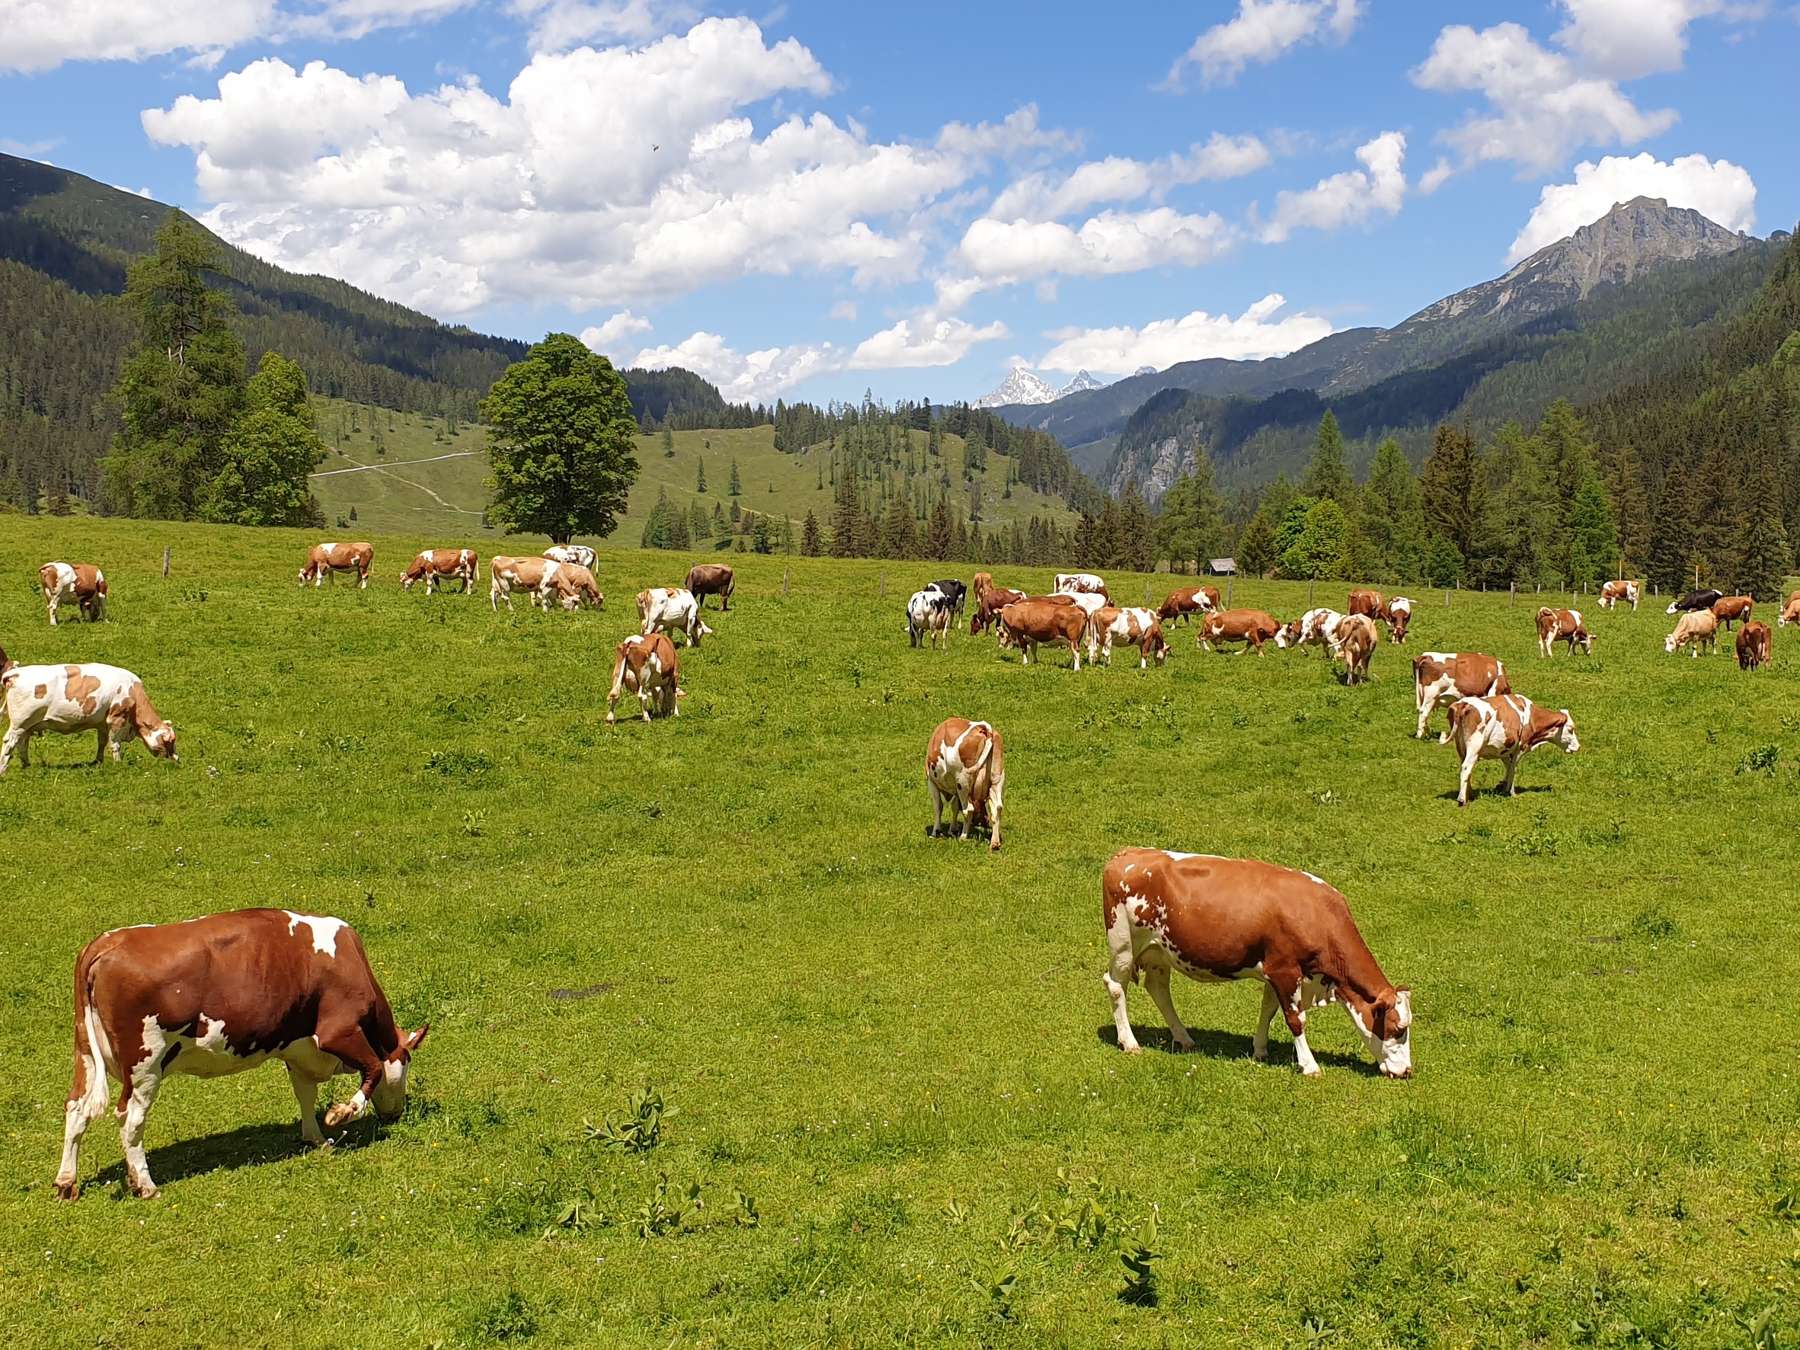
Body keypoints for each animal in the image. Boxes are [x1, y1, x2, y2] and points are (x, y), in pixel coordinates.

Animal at [2, 657, 177, 775]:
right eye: (169, 741)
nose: (177, 760)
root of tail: (16, 673)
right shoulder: (116, 718)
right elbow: (115, 744)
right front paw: (118, 763)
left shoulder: (102, 723)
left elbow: (102, 742)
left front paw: (98, 761)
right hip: (20, 722)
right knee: (9, 742)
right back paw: (3, 770)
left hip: (27, 725)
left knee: (22, 743)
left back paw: (26, 766)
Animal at [53, 909, 428, 1199]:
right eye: (407, 1062)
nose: (396, 1114)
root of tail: (107, 942)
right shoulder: (338, 1029)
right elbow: (374, 1068)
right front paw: (340, 1114)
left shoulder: (300, 1048)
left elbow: (305, 1095)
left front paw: (317, 1138)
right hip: (145, 1064)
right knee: (129, 1119)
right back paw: (145, 1185)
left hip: (86, 1053)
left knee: (76, 1108)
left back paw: (66, 1183)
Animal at [925, 717, 1005, 851]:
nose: (984, 821)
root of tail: (984, 728)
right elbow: (955, 807)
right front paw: (952, 829)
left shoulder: (931, 782)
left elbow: (938, 807)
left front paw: (936, 832)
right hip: (996, 780)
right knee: (997, 808)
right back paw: (994, 842)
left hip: (962, 782)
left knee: (968, 809)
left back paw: (963, 836)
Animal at [1100, 848, 1413, 1078]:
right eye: (1398, 1030)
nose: (1407, 1072)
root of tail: (1126, 854)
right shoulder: (1285, 970)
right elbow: (1295, 1019)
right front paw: (1309, 1065)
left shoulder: (1276, 971)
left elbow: (1269, 1010)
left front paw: (1260, 1050)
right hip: (1124, 944)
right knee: (1115, 985)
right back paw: (1129, 1042)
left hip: (1159, 951)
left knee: (1159, 989)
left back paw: (1184, 1038)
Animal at [1440, 694, 1579, 807]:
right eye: (1571, 729)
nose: (1578, 747)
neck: (1531, 717)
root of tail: (1464, 703)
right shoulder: (1520, 747)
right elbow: (1513, 769)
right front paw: (1511, 792)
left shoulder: (1505, 749)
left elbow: (1508, 767)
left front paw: (1502, 787)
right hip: (1474, 746)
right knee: (1466, 767)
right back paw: (1462, 799)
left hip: (1461, 746)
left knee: (1466, 768)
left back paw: (1469, 794)